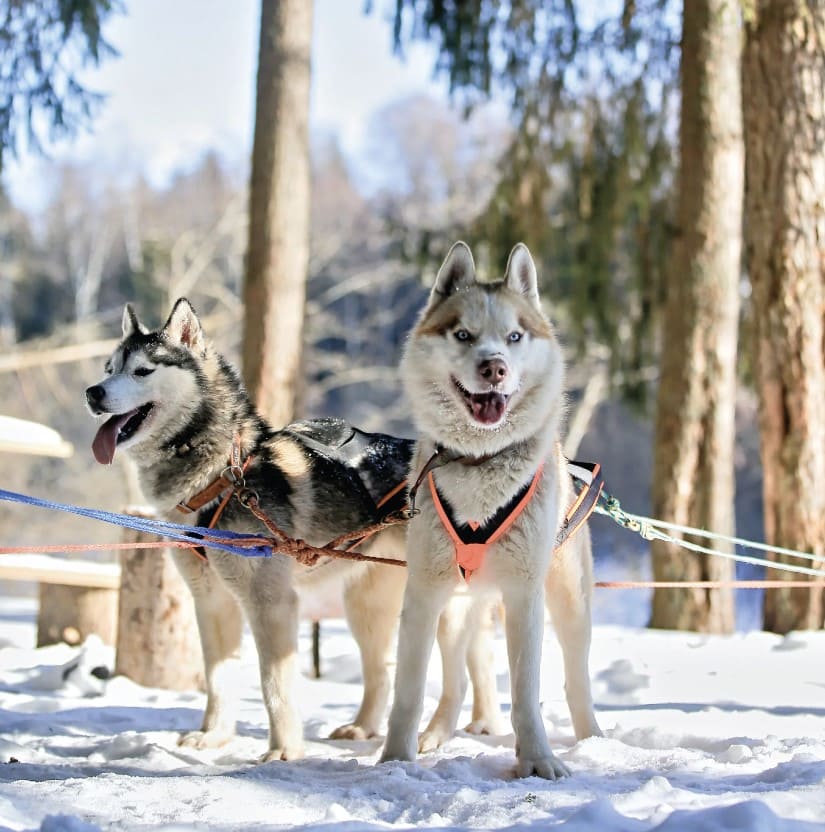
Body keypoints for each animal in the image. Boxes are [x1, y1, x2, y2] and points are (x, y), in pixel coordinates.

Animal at [85, 298, 502, 760]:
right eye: (109, 367)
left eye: (142, 371)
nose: (93, 392)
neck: (224, 475)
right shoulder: (211, 601)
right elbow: (217, 678)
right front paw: (213, 736)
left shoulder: (271, 604)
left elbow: (274, 686)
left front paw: (284, 749)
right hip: (368, 607)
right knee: (395, 669)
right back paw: (377, 727)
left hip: (438, 605)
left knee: (458, 674)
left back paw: (434, 735)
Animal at [380, 240, 600, 780]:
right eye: (463, 334)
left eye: (514, 335)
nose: (494, 366)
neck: (481, 462)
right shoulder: (424, 592)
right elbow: (408, 691)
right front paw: (395, 760)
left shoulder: (525, 594)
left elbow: (526, 691)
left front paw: (538, 760)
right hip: (455, 608)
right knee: (455, 680)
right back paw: (434, 735)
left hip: (569, 599)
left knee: (577, 679)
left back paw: (593, 740)